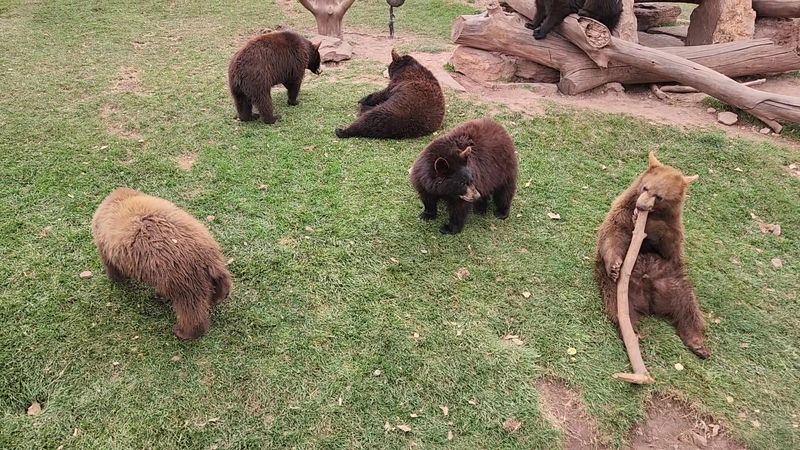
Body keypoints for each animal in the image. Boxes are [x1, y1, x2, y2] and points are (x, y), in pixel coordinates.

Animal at [91, 188, 232, 340]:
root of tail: (209, 259)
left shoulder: (105, 242)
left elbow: (110, 265)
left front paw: (117, 280)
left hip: (182, 279)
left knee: (190, 310)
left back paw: (183, 332)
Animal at [594, 152, 710, 359]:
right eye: (645, 187)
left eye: (660, 197)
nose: (641, 206)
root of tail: (649, 302)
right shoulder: (621, 213)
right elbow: (612, 236)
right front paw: (614, 266)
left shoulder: (672, 229)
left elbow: (669, 245)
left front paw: (651, 225)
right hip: (619, 290)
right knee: (619, 308)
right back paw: (632, 331)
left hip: (675, 282)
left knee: (689, 309)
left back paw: (697, 344)